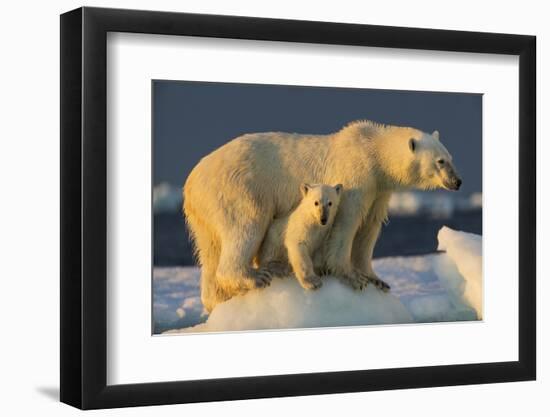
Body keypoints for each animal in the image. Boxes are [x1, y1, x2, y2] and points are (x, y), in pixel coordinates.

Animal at [184, 118, 462, 310]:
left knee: (210, 250)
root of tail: (191, 181)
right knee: (246, 226)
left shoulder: (378, 191)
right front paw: (351, 277)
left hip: (205, 212)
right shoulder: (354, 178)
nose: (457, 182)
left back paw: (218, 299)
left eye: (451, 157)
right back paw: (255, 277)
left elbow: (369, 230)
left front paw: (377, 280)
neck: (372, 152)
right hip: (239, 188)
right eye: (440, 161)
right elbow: (346, 224)